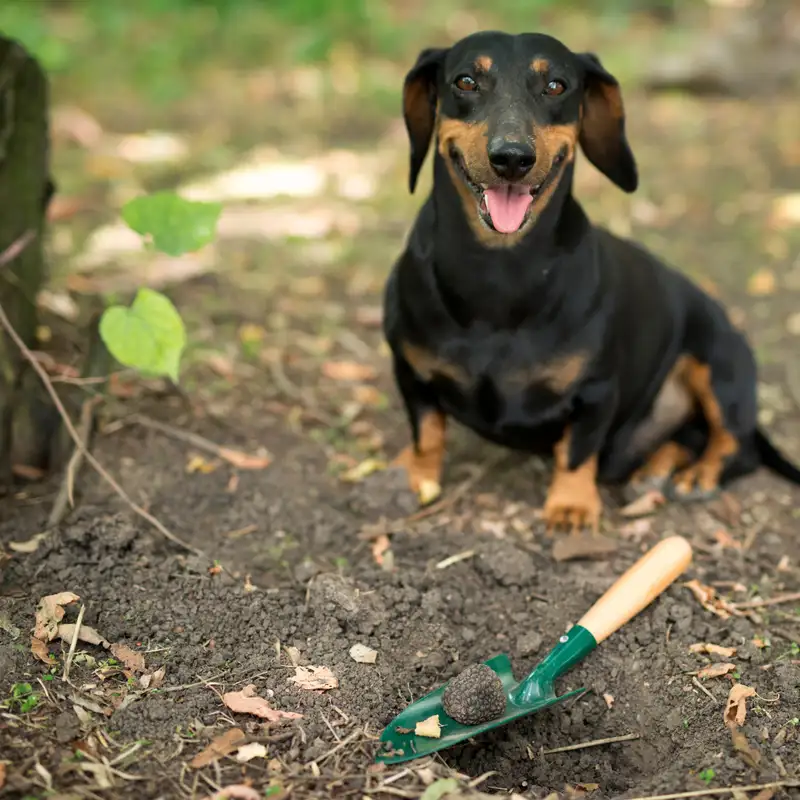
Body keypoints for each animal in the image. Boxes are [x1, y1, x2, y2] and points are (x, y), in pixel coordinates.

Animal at [382, 30, 800, 532]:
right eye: (465, 81)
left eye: (556, 86)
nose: (512, 158)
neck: (499, 274)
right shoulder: (410, 371)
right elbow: (427, 432)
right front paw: (415, 476)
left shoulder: (598, 392)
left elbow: (578, 450)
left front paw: (571, 505)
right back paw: (654, 471)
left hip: (720, 364)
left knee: (736, 446)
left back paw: (696, 477)